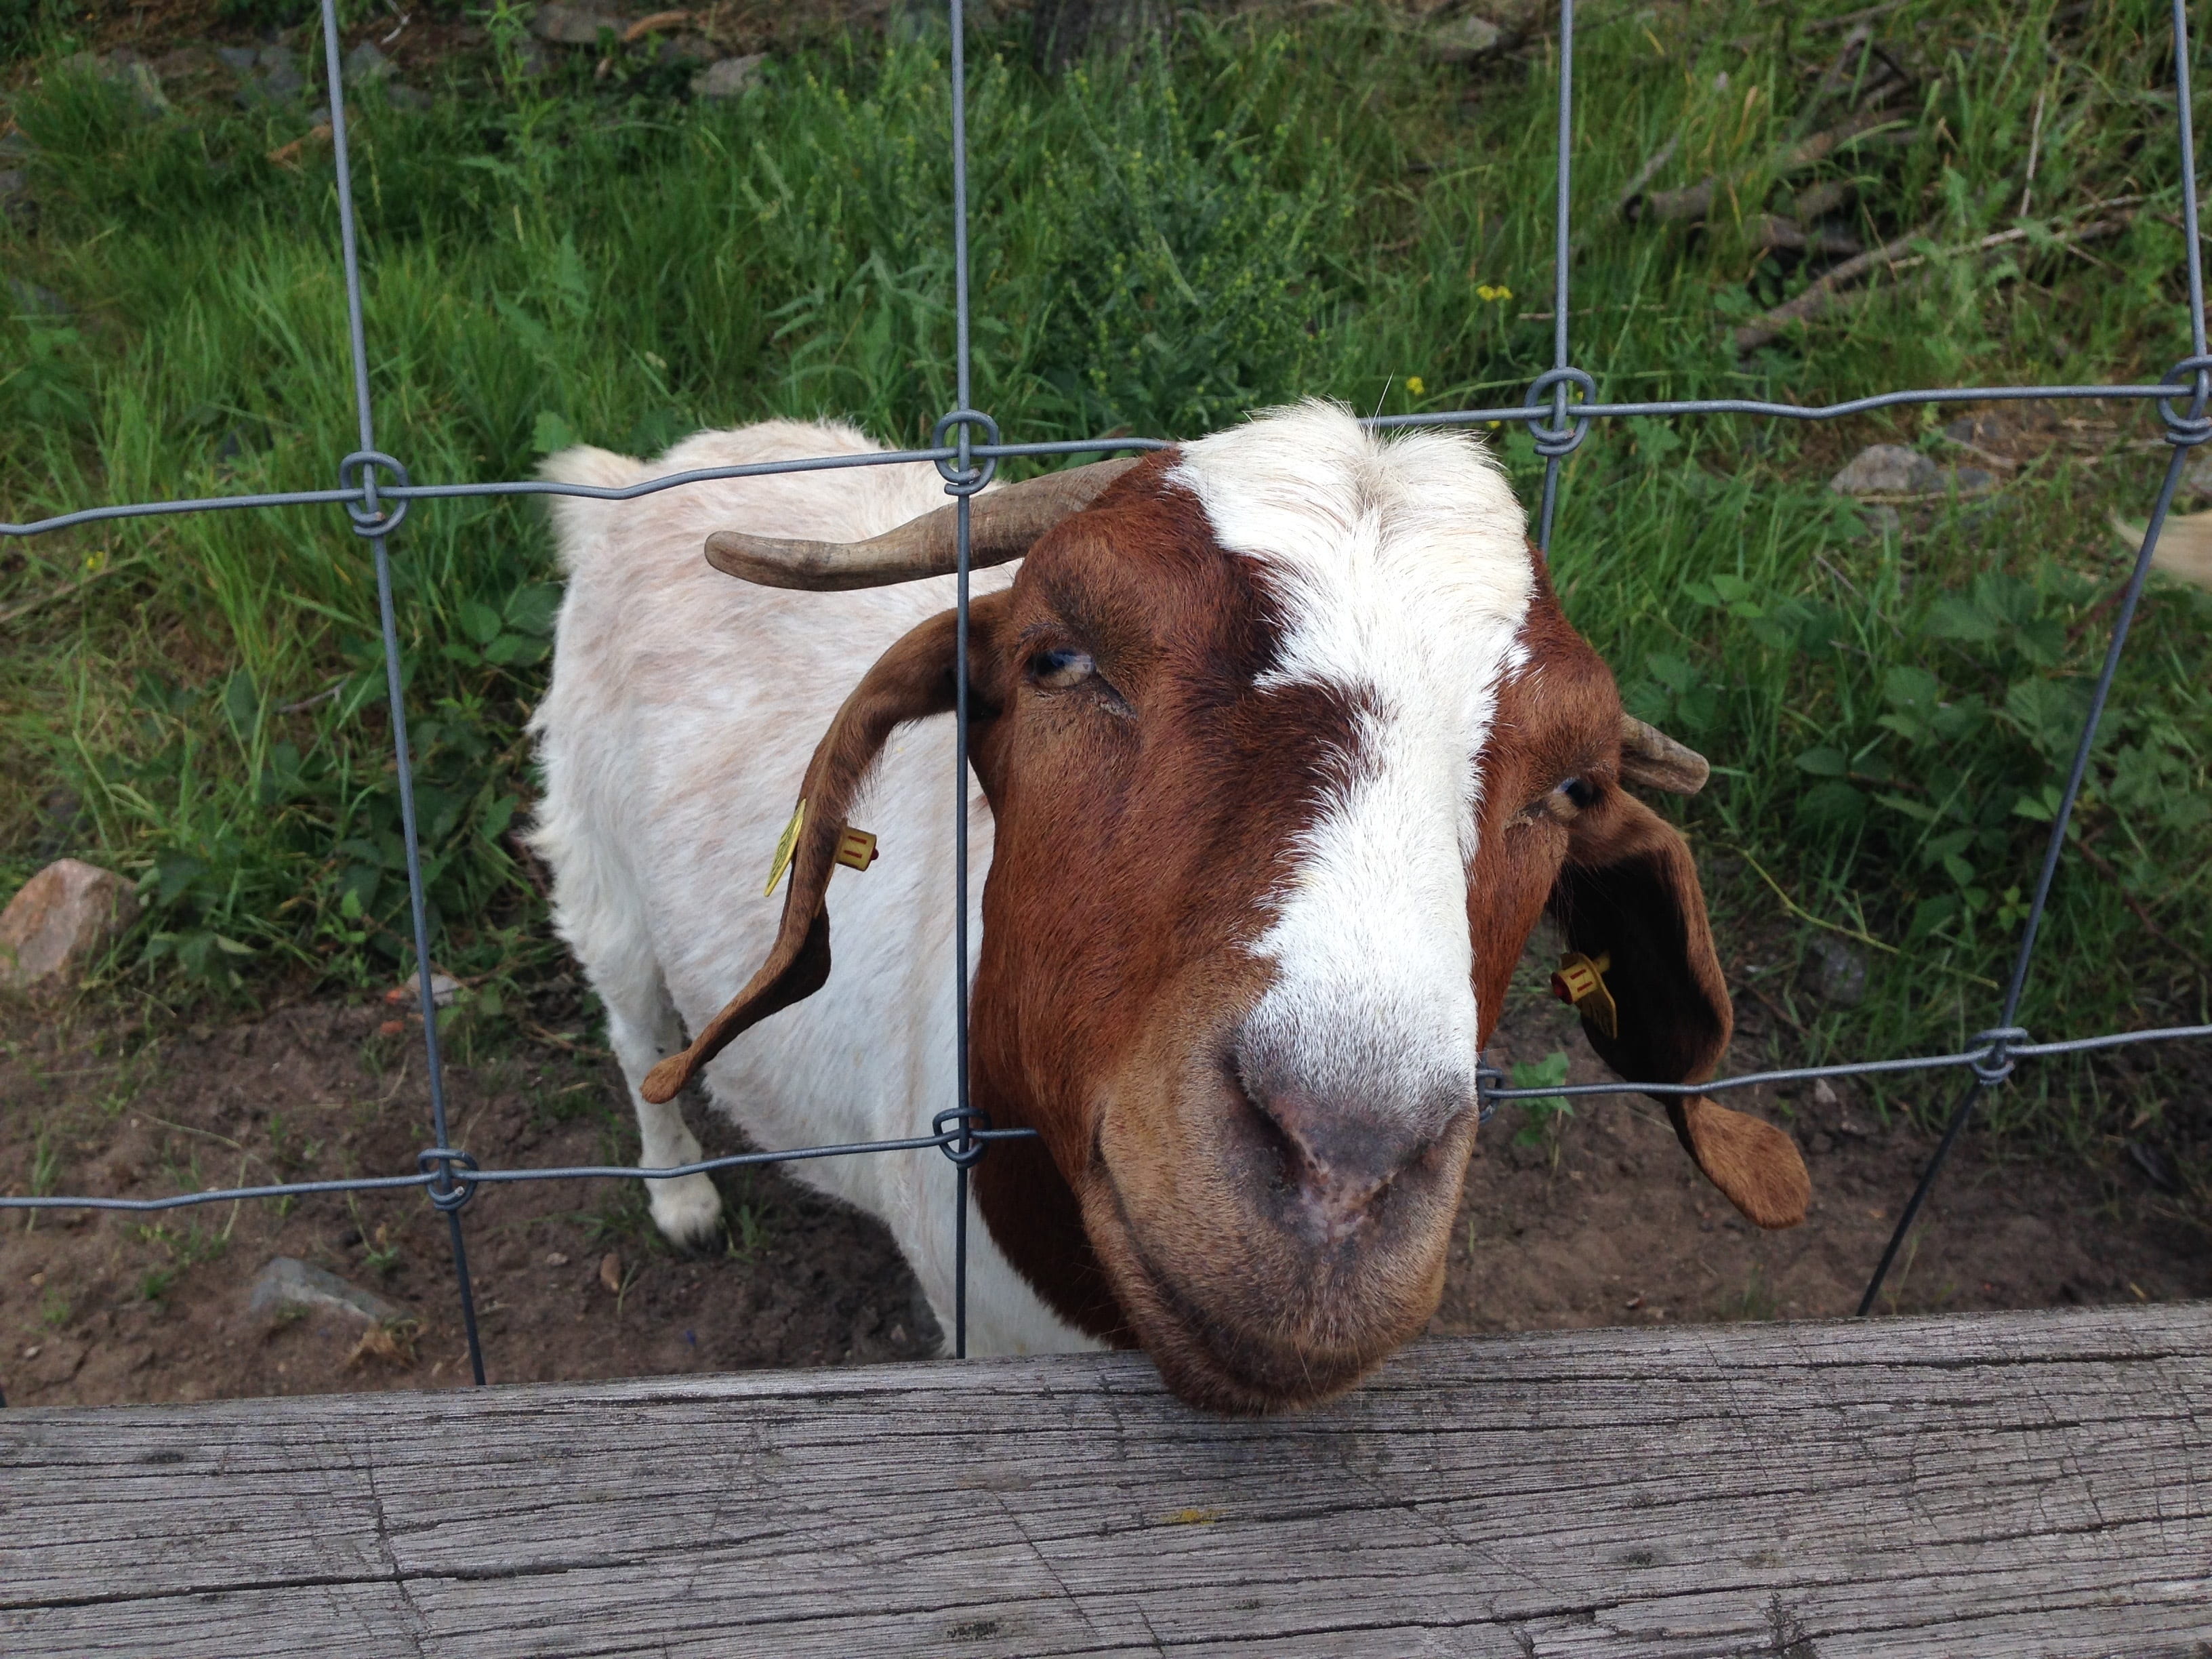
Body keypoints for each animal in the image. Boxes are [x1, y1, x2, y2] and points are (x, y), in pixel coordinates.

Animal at [528, 402, 1809, 1413]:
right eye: (1056, 657)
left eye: (1572, 785)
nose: (1343, 1164)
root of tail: (630, 482)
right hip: (596, 863)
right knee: (632, 1024)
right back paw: (678, 1194)